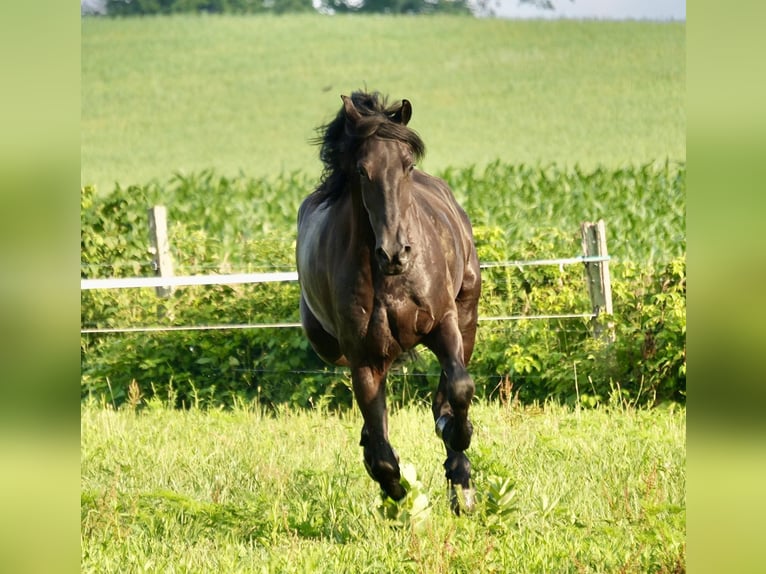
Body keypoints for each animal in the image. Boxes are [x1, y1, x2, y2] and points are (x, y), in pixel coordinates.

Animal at [296, 92, 480, 516]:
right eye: (362, 171)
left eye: (407, 164)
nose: (395, 252)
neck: (390, 280)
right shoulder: (363, 356)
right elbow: (381, 449)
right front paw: (394, 487)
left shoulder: (443, 324)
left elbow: (460, 387)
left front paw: (456, 437)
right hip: (331, 347)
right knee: (375, 422)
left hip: (467, 316)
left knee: (448, 388)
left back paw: (458, 474)